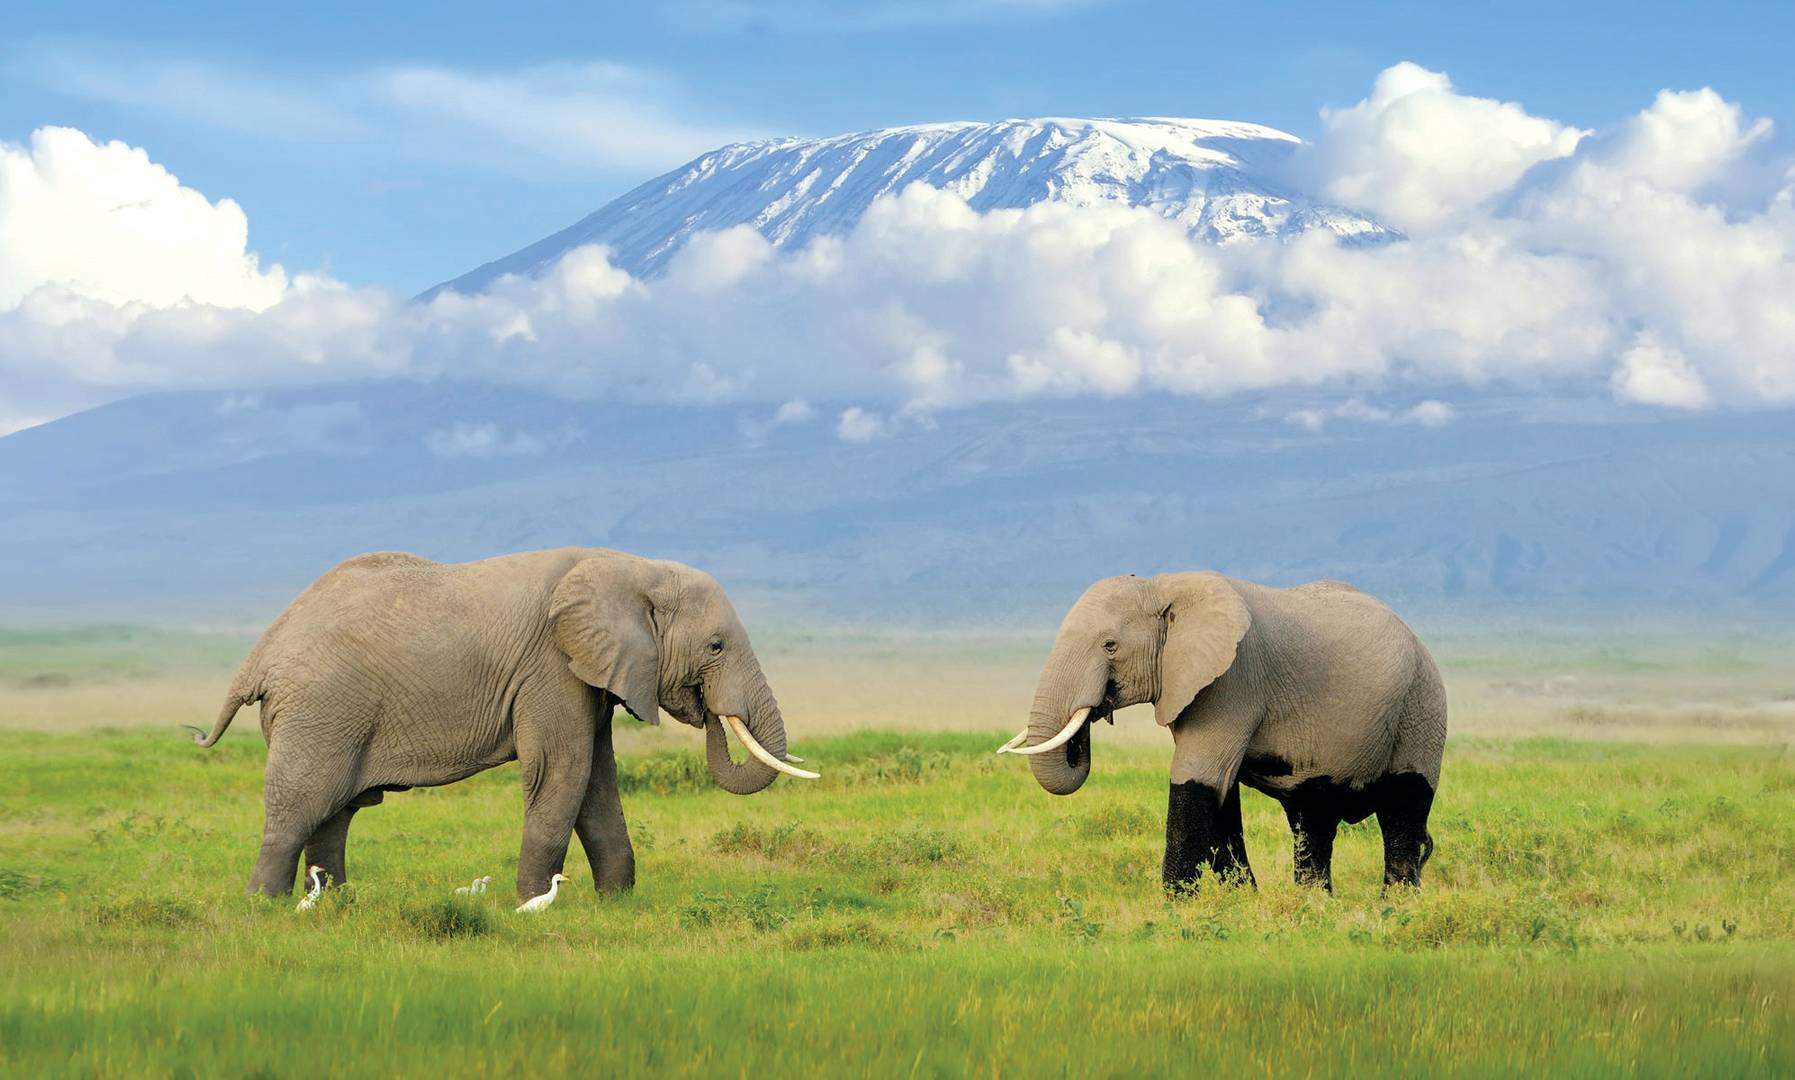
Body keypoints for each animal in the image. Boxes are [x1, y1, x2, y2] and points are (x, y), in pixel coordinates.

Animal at [189, 547, 817, 900]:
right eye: (715, 646)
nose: (706, 706)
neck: (633, 567)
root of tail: (261, 651)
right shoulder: (551, 666)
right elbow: (562, 773)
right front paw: (533, 905)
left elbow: (596, 781)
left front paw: (616, 904)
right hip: (320, 710)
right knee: (301, 806)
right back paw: (264, 907)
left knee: (335, 812)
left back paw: (338, 903)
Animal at [998, 573, 1445, 894]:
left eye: (1110, 646)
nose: (1094, 711)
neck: (1166, 586)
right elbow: (1220, 797)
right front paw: (1243, 902)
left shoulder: (1232, 681)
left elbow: (1197, 780)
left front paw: (1176, 910)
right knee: (1312, 821)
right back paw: (1314, 905)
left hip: (1422, 707)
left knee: (1404, 808)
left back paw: (1396, 908)